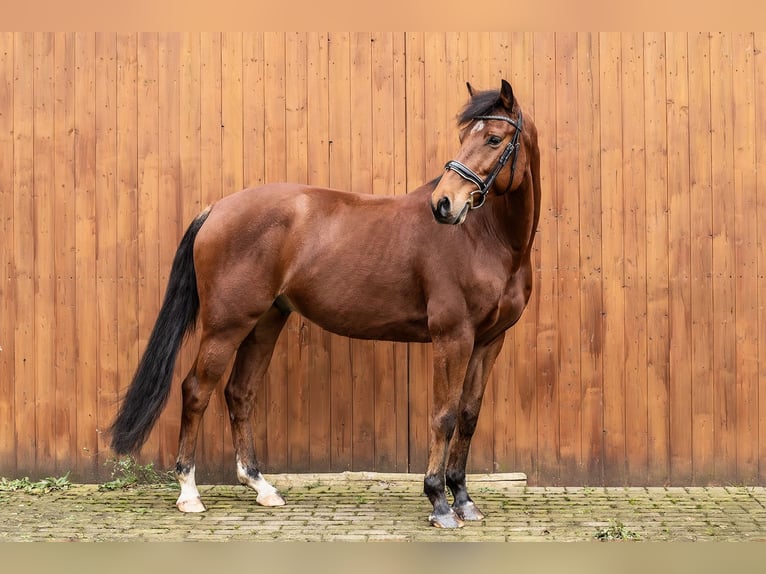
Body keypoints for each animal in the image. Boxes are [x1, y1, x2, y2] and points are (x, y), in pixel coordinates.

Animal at [111, 79, 544, 528]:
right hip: (225, 325)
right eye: (464, 137)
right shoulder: (452, 337)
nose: (444, 204)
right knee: (197, 390)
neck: (485, 238)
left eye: (494, 138)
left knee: (239, 393)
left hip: (264, 323)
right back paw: (189, 492)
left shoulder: (489, 341)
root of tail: (216, 209)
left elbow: (469, 415)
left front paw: (463, 499)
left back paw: (261, 486)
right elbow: (443, 415)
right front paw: (439, 503)